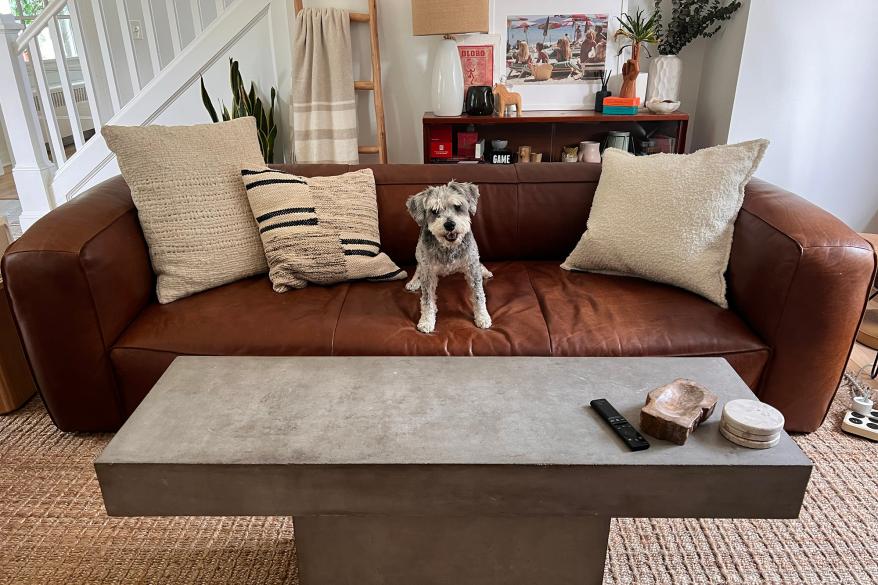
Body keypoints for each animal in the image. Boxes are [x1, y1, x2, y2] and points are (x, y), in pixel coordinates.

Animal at [408, 180, 496, 334]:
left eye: (457, 206)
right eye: (434, 211)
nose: (449, 225)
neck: (449, 247)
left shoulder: (472, 266)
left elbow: (479, 295)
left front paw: (483, 317)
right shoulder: (428, 272)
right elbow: (427, 299)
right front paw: (426, 321)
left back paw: (485, 271)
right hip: (419, 253)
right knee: (418, 267)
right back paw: (414, 281)